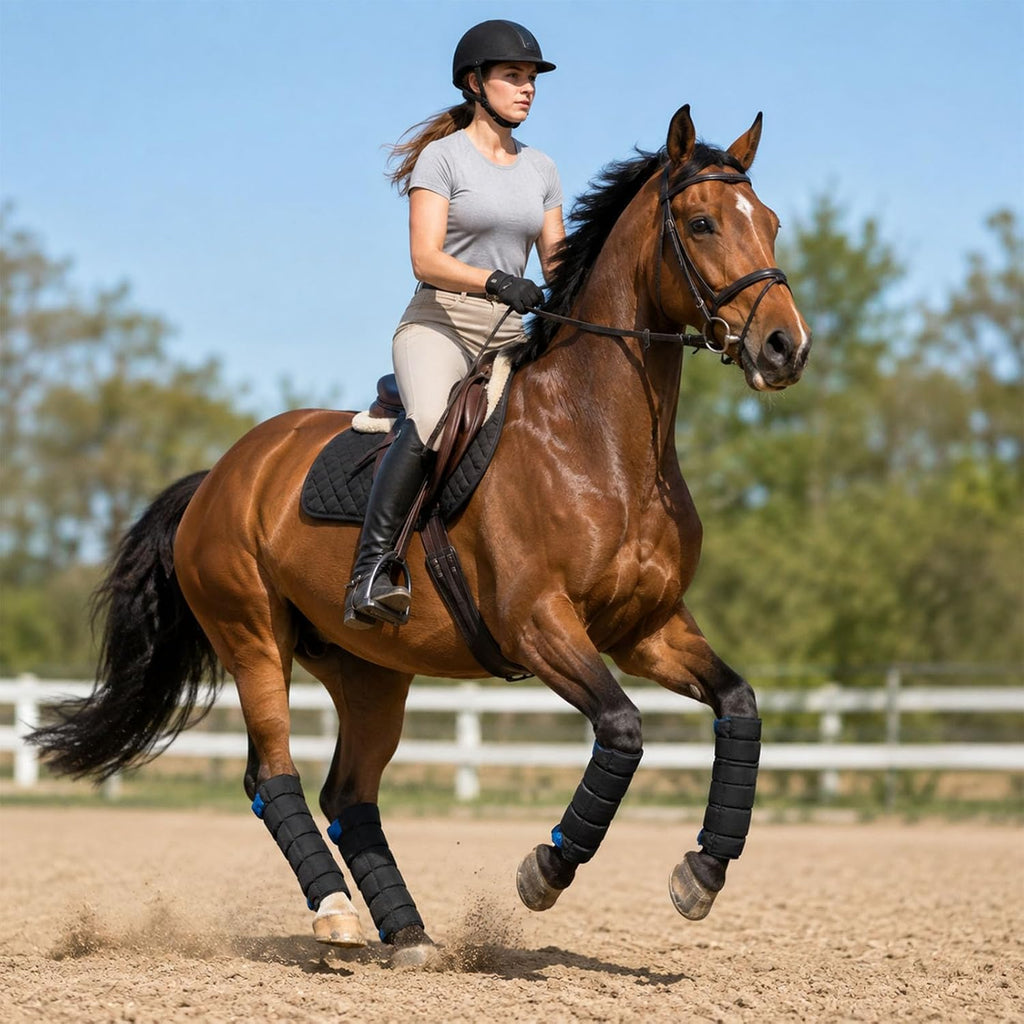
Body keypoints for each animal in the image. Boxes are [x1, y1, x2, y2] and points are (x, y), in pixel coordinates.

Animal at [31, 105, 811, 965]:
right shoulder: (539, 623)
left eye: (770, 222)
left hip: (369, 669)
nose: (786, 347)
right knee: (274, 775)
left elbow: (739, 705)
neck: (601, 443)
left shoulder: (646, 630)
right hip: (253, 637)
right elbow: (622, 730)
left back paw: (407, 933)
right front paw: (544, 871)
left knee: (350, 794)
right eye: (702, 223)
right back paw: (336, 913)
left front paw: (701, 874)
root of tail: (222, 474)